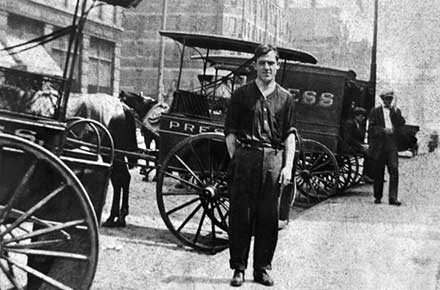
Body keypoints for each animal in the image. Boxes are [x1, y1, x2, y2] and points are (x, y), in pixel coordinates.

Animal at [65, 94, 137, 228]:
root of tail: (122, 106)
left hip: (114, 152)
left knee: (122, 178)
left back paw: (119, 218)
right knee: (118, 179)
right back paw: (114, 217)